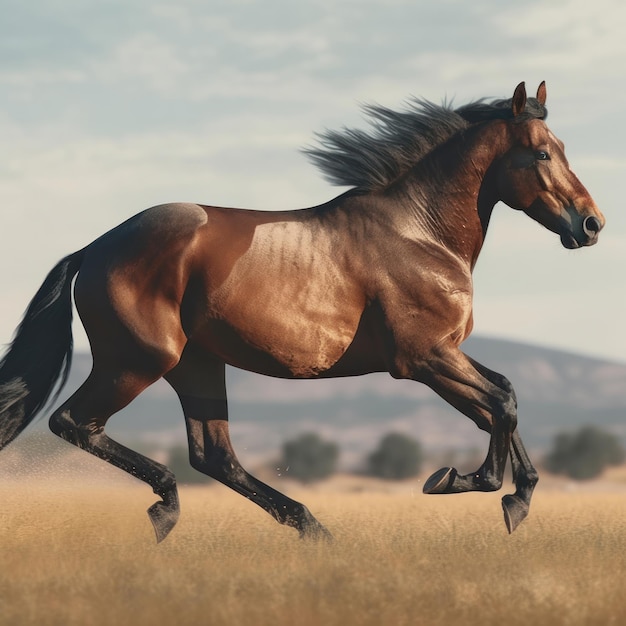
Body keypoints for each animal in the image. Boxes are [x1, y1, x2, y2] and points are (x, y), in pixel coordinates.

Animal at [1, 83, 604, 540]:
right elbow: (500, 404)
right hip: (139, 362)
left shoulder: (446, 353)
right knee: (75, 422)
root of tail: (94, 248)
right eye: (543, 153)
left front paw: (517, 497)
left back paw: (309, 527)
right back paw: (171, 505)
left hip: (197, 365)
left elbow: (504, 397)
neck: (420, 233)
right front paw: (462, 481)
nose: (591, 224)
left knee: (214, 456)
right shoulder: (422, 358)